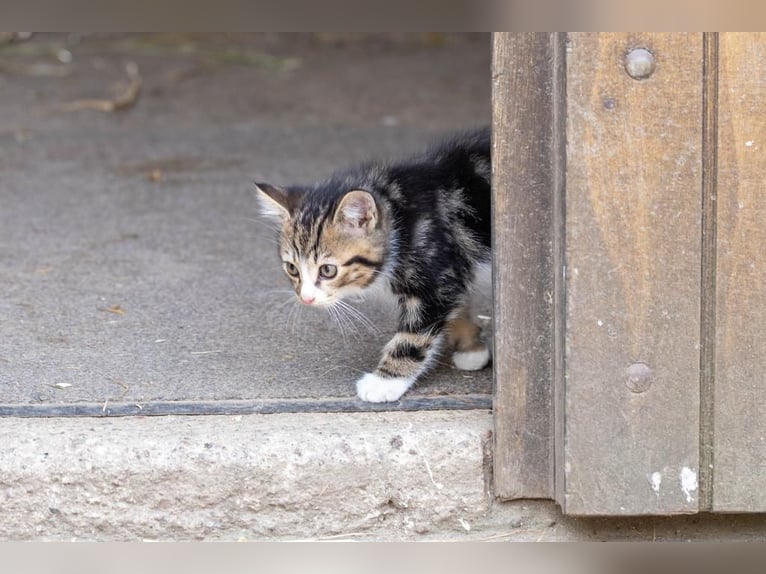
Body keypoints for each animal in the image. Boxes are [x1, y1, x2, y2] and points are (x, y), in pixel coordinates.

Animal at [256, 128, 492, 402]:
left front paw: (385, 382)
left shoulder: (435, 277)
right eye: (292, 268)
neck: (401, 222)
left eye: (328, 270)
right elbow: (458, 298)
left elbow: (413, 335)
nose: (306, 299)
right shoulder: (453, 269)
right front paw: (471, 347)